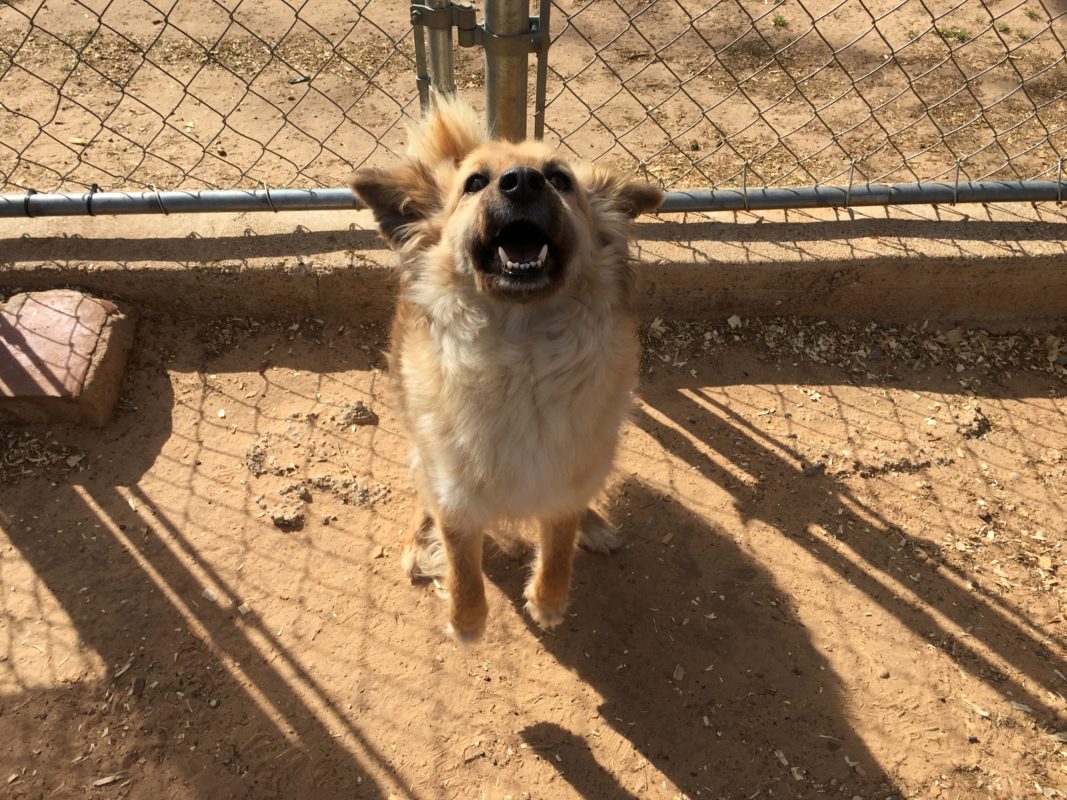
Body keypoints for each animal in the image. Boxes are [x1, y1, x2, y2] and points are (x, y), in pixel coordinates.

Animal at [354, 100, 661, 644]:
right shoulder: (455, 492)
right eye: (474, 183)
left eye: (560, 179)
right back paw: (418, 544)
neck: (521, 356)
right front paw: (467, 622)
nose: (521, 182)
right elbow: (462, 561)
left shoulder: (566, 473)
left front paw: (549, 603)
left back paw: (594, 526)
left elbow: (558, 544)